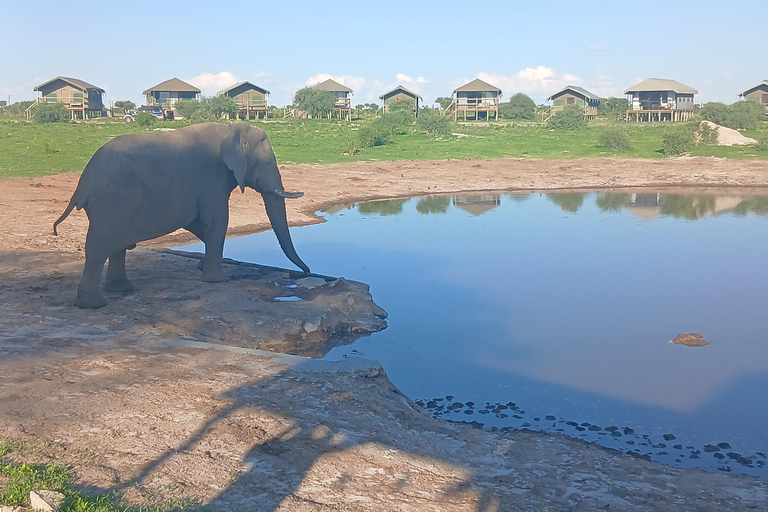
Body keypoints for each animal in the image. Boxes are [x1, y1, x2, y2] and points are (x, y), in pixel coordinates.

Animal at [53, 122, 310, 309]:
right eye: (266, 163)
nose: (306, 272)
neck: (231, 129)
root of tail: (83, 184)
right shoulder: (213, 178)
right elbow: (215, 221)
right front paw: (217, 280)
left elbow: (198, 223)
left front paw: (202, 266)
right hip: (112, 201)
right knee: (99, 246)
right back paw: (94, 305)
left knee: (116, 246)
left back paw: (121, 290)